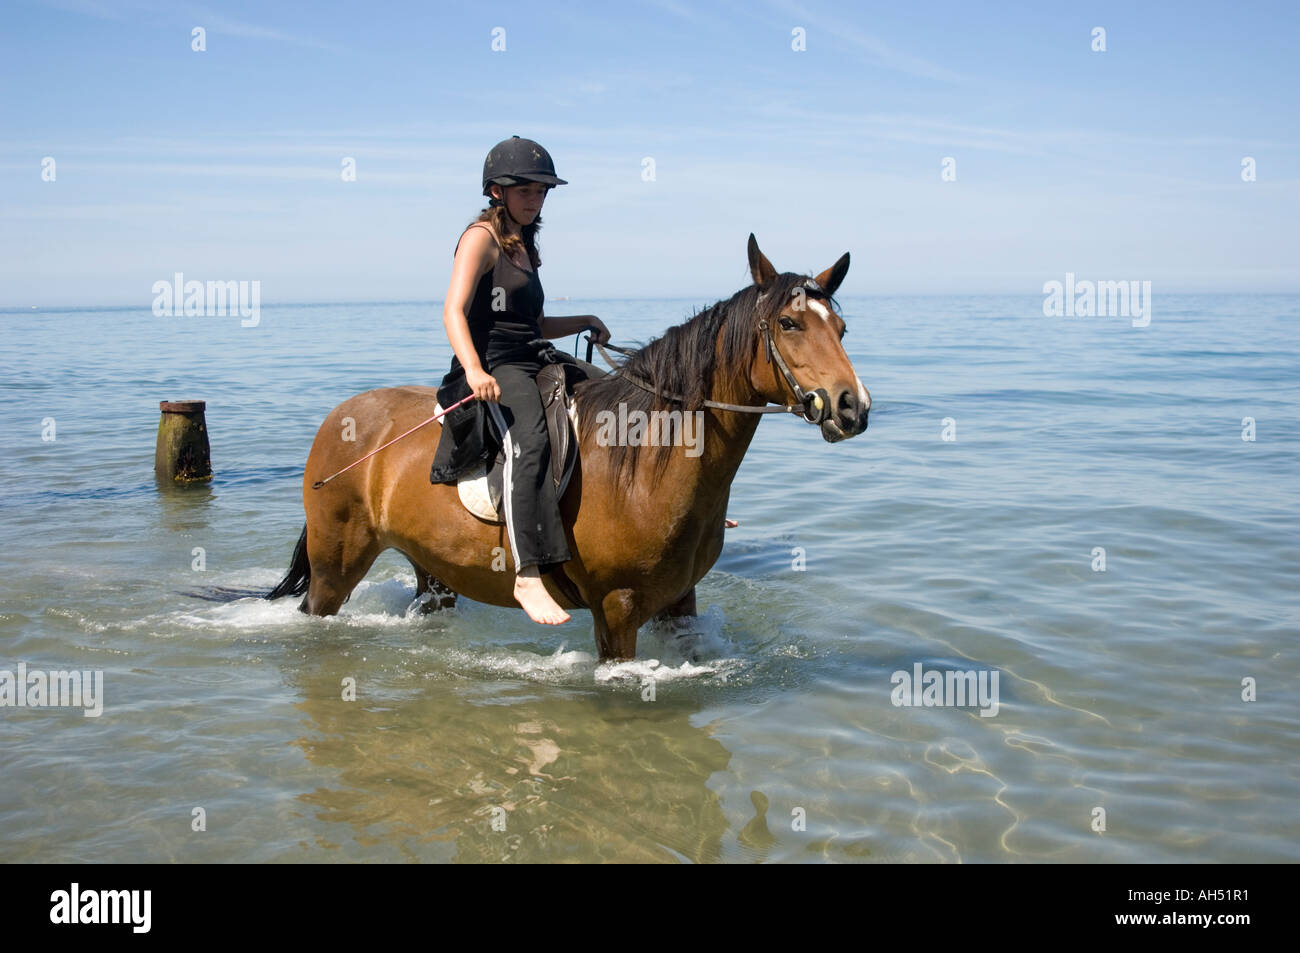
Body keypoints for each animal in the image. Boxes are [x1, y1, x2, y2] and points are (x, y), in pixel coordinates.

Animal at [267, 234, 868, 657]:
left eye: (840, 328)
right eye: (788, 323)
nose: (851, 407)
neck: (646, 463)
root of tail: (341, 418)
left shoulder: (680, 603)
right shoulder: (617, 610)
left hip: (432, 571)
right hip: (335, 567)